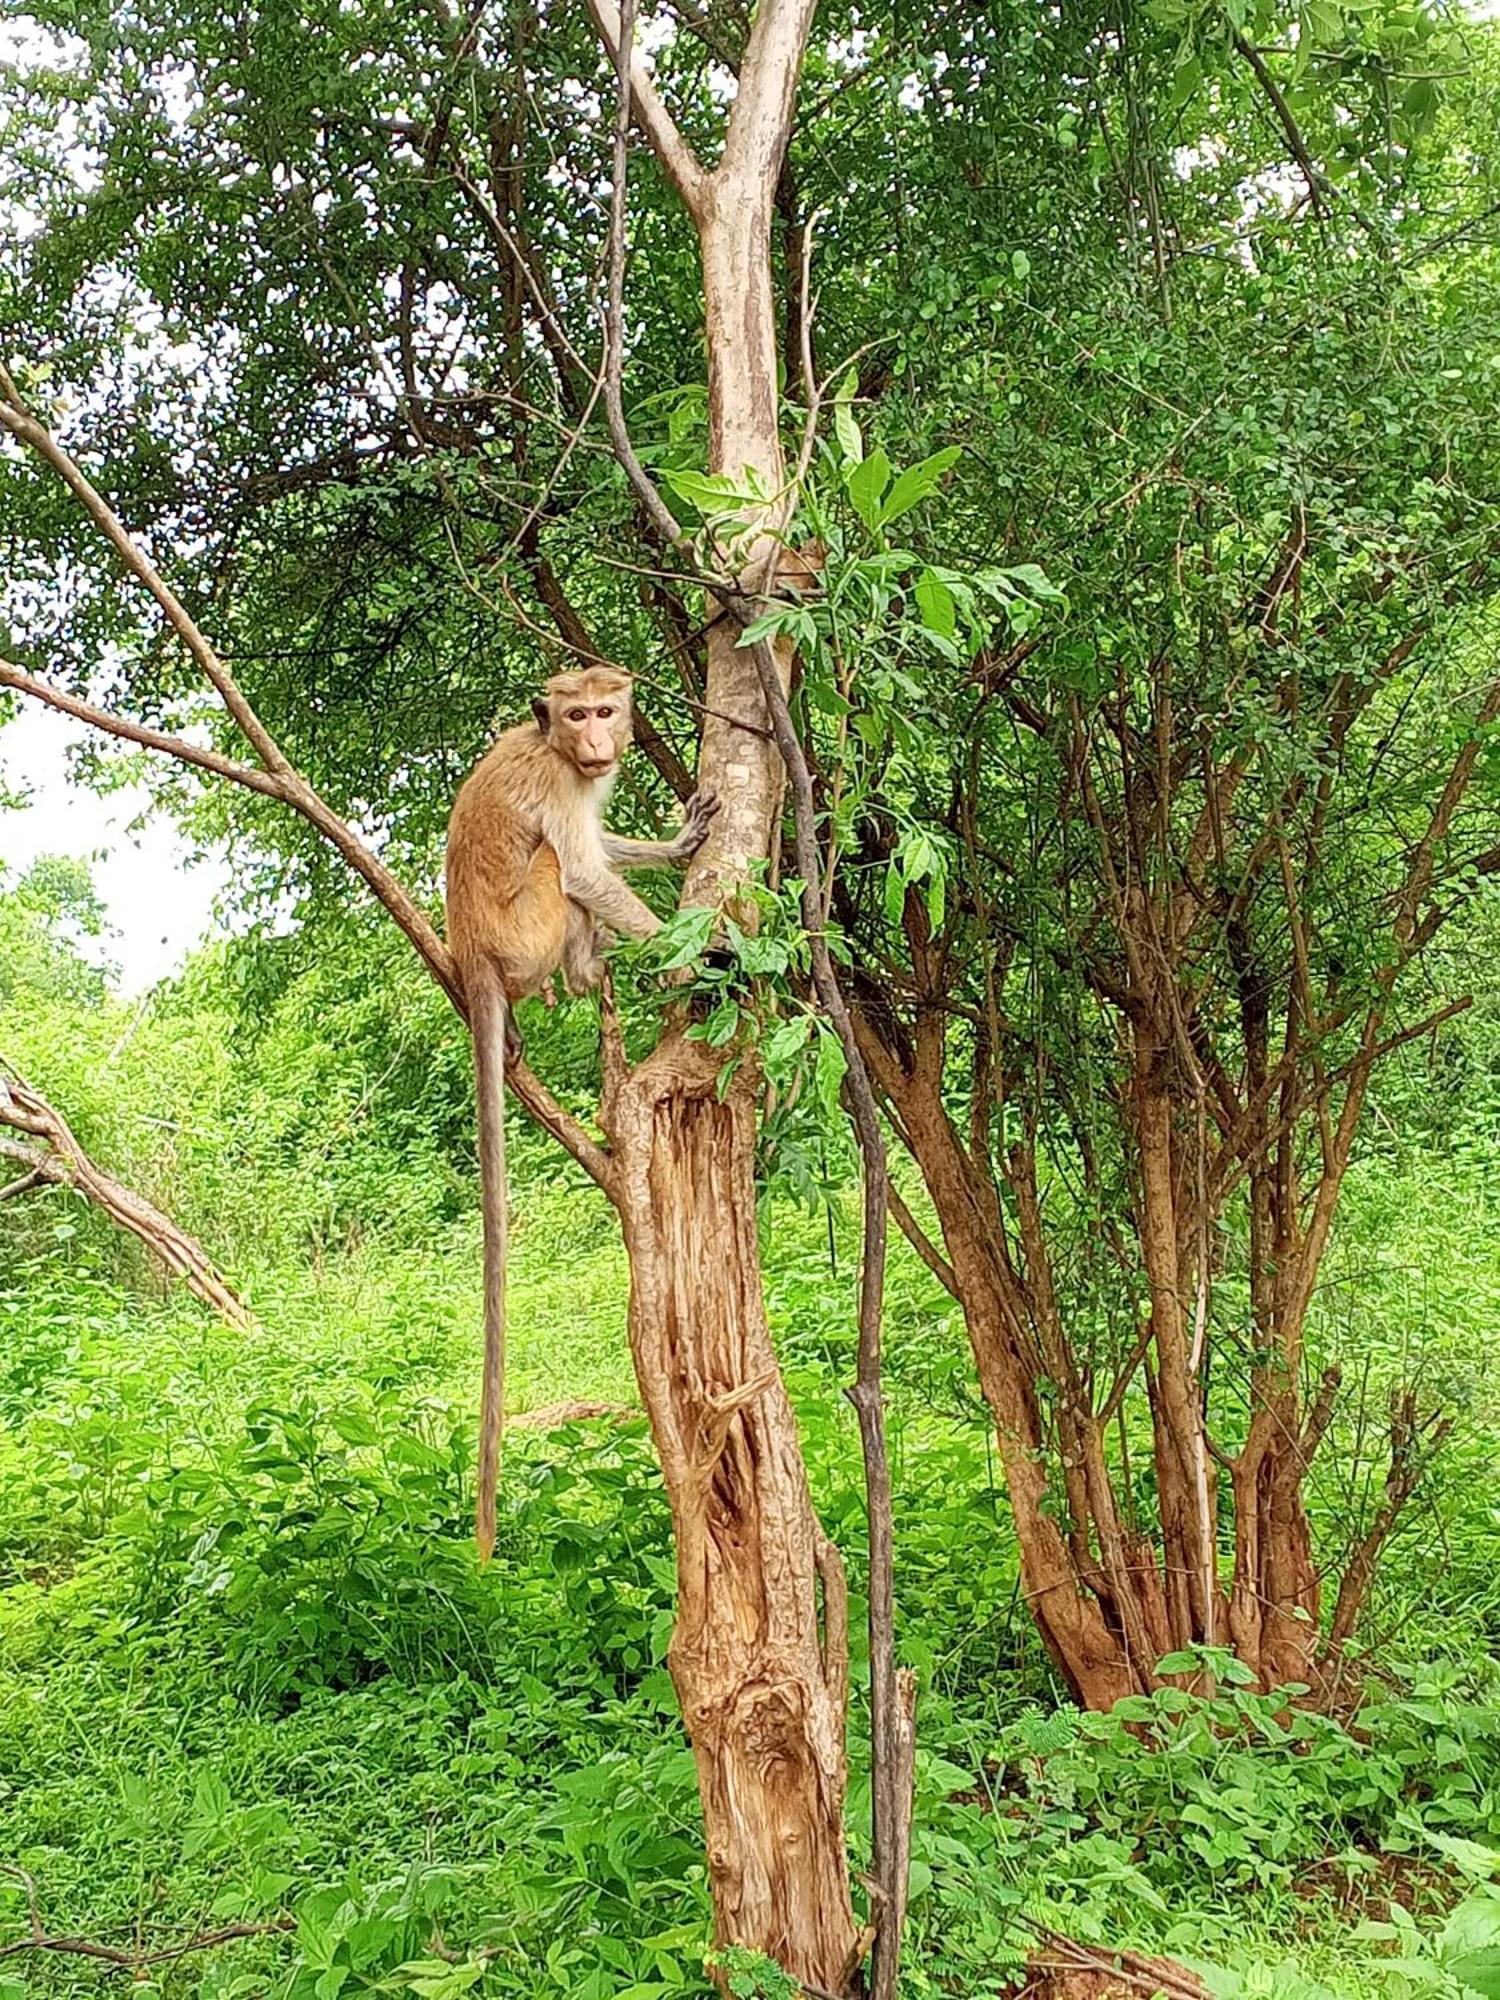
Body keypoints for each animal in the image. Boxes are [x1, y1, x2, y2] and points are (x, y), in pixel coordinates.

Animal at [444, 664, 720, 1552]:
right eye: (576, 715)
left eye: (605, 708)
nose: (598, 739)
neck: (551, 745)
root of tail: (472, 956)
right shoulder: (558, 783)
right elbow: (587, 872)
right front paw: (699, 958)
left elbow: (605, 851)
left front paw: (674, 844)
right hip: (525, 933)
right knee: (558, 876)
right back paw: (584, 970)